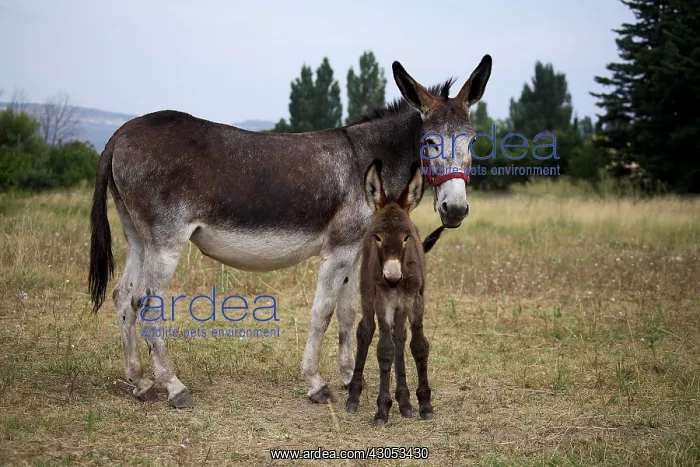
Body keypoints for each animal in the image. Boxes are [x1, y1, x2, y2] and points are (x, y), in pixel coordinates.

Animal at [88, 55, 492, 408]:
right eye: (430, 142)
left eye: (472, 142)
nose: (455, 210)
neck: (367, 162)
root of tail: (121, 133)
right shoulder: (339, 250)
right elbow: (322, 312)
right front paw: (316, 383)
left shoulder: (355, 250)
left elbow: (348, 313)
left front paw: (349, 377)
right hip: (166, 241)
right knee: (147, 303)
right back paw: (173, 387)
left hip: (138, 237)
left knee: (123, 297)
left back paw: (140, 382)